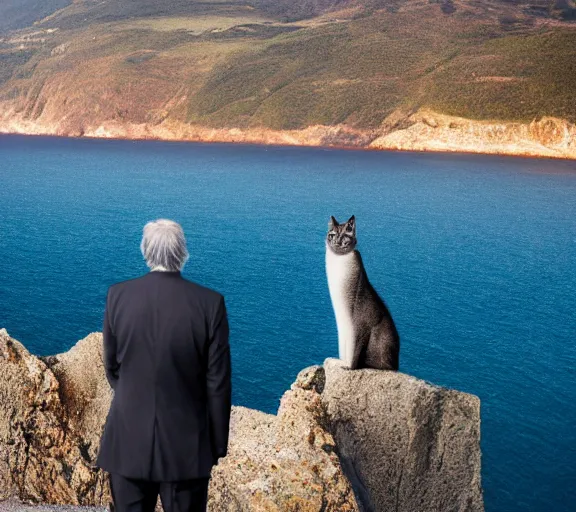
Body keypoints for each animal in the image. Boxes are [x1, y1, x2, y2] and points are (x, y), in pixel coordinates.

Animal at [324, 214, 400, 370]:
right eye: (332, 234)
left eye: (345, 235)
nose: (336, 242)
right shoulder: (343, 329)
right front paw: (339, 361)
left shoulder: (359, 323)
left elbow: (356, 347)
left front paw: (349, 367)